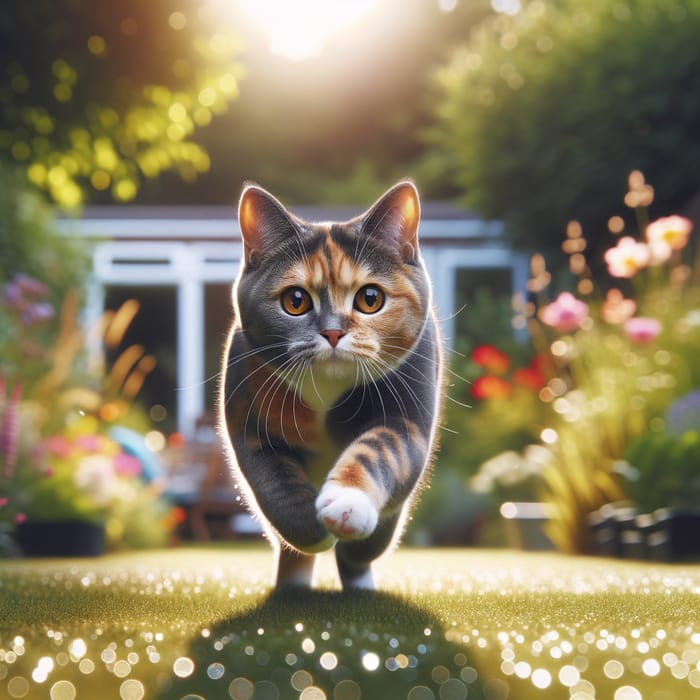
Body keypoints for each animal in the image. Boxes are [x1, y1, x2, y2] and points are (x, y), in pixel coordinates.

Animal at [219, 180, 442, 592]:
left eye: (370, 298)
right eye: (295, 300)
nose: (334, 332)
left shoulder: (406, 413)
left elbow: (379, 449)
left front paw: (346, 503)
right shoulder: (248, 419)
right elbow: (274, 480)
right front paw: (311, 530)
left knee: (361, 553)